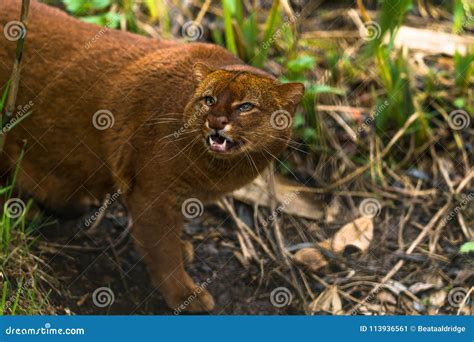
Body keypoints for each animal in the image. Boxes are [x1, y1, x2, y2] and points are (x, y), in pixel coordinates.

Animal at [0, 0, 304, 312]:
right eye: (209, 99)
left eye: (245, 106)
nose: (216, 121)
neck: (215, 172)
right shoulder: (152, 194)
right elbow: (163, 250)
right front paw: (185, 294)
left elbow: (170, 237)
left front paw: (182, 249)